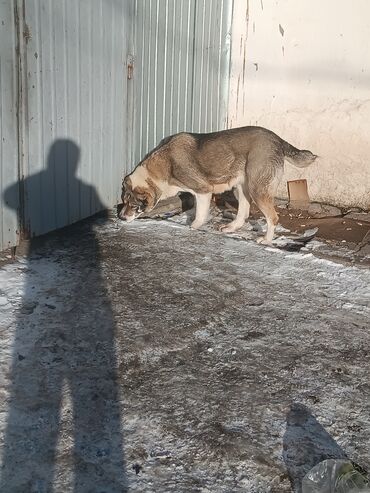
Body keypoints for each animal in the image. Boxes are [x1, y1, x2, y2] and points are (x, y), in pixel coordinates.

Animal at [120, 126, 316, 243]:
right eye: (124, 202)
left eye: (134, 205)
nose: (120, 217)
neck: (164, 165)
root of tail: (277, 139)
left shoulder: (203, 190)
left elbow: (199, 215)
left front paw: (193, 227)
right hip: (241, 187)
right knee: (243, 213)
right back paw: (231, 228)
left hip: (256, 189)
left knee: (273, 218)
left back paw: (266, 240)